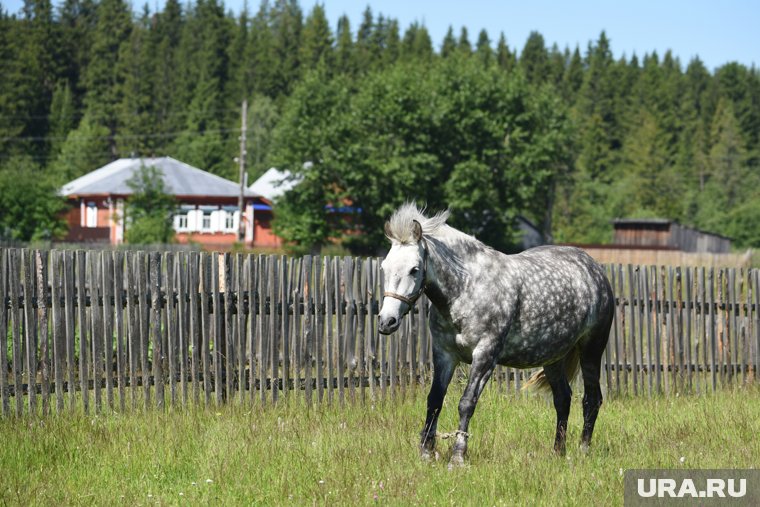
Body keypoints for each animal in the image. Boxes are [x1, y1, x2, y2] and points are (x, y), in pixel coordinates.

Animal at [378, 202, 616, 468]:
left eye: (414, 269)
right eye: (384, 267)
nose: (387, 321)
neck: (467, 288)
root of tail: (594, 269)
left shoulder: (485, 356)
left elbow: (466, 403)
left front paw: (458, 457)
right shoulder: (444, 355)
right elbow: (434, 400)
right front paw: (426, 453)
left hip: (591, 349)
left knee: (591, 399)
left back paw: (583, 450)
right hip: (553, 357)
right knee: (563, 399)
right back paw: (558, 452)